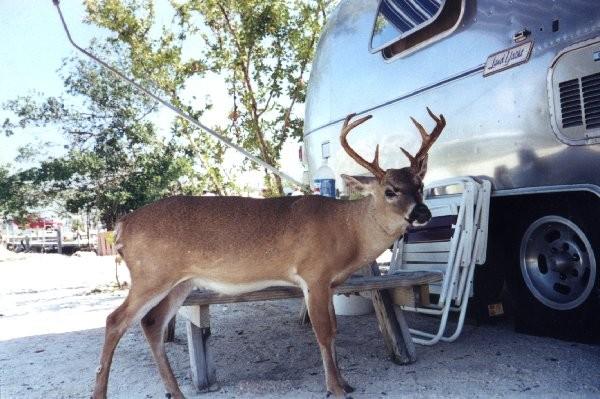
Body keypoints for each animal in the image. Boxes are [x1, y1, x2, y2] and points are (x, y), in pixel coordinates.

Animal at [90, 108, 446, 398]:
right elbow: (324, 332)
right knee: (115, 320)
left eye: (420, 185)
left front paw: (345, 383)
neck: (348, 229)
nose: (422, 213)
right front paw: (334, 388)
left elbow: (334, 329)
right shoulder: (313, 274)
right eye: (390, 191)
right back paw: (101, 393)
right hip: (151, 274)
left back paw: (176, 393)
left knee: (151, 323)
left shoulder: (330, 283)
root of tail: (122, 225)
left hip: (181, 282)